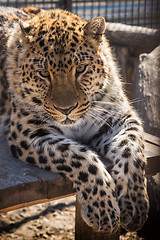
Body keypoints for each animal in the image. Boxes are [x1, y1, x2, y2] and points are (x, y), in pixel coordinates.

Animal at [0, 6, 149, 234]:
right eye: (43, 74)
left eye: (80, 69)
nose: (66, 109)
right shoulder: (29, 134)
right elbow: (79, 157)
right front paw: (102, 209)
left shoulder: (120, 118)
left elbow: (131, 149)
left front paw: (134, 205)